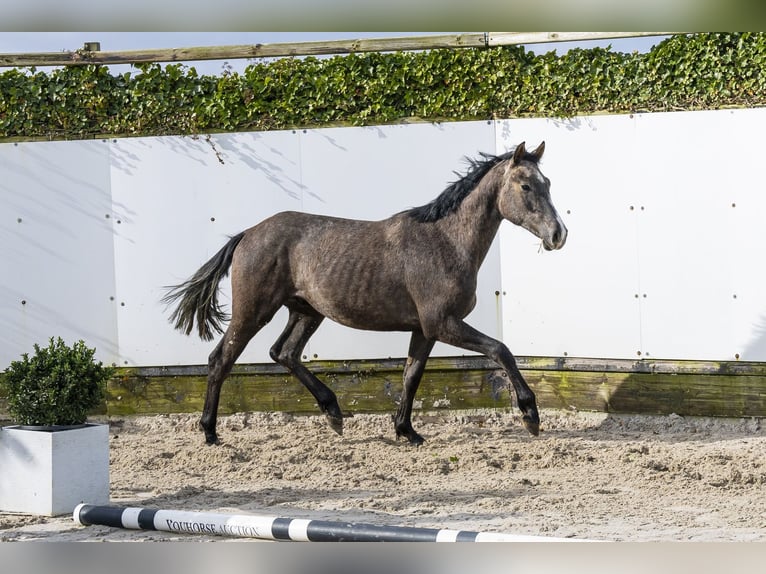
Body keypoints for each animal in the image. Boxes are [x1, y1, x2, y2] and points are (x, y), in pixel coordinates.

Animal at [163, 141, 567, 446]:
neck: (446, 242)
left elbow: (412, 374)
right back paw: (210, 432)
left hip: (306, 311)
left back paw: (334, 413)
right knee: (221, 359)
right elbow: (501, 350)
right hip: (253, 311)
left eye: (548, 182)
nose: (558, 234)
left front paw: (407, 431)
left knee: (284, 352)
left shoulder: (424, 329)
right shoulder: (443, 323)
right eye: (526, 186)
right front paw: (531, 415)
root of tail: (247, 233)